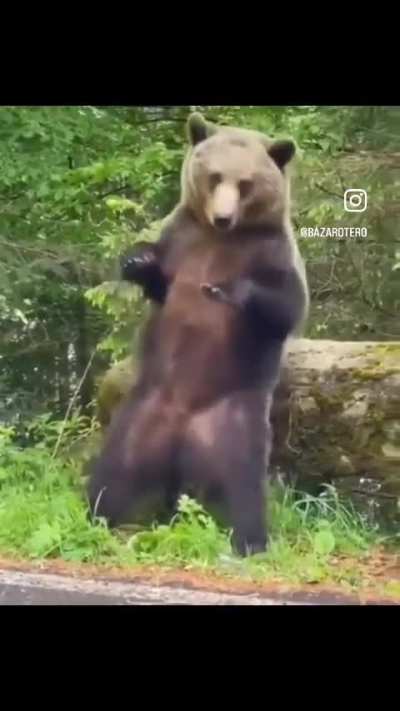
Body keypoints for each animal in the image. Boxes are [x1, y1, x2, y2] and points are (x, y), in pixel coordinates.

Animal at [87, 113, 309, 556]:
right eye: (214, 176)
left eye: (246, 184)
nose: (223, 217)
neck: (221, 239)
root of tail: (182, 436)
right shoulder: (181, 237)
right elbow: (157, 276)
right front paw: (137, 259)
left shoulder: (272, 251)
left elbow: (287, 305)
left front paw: (227, 290)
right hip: (140, 415)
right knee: (114, 472)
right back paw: (99, 515)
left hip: (233, 423)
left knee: (244, 490)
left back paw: (250, 541)